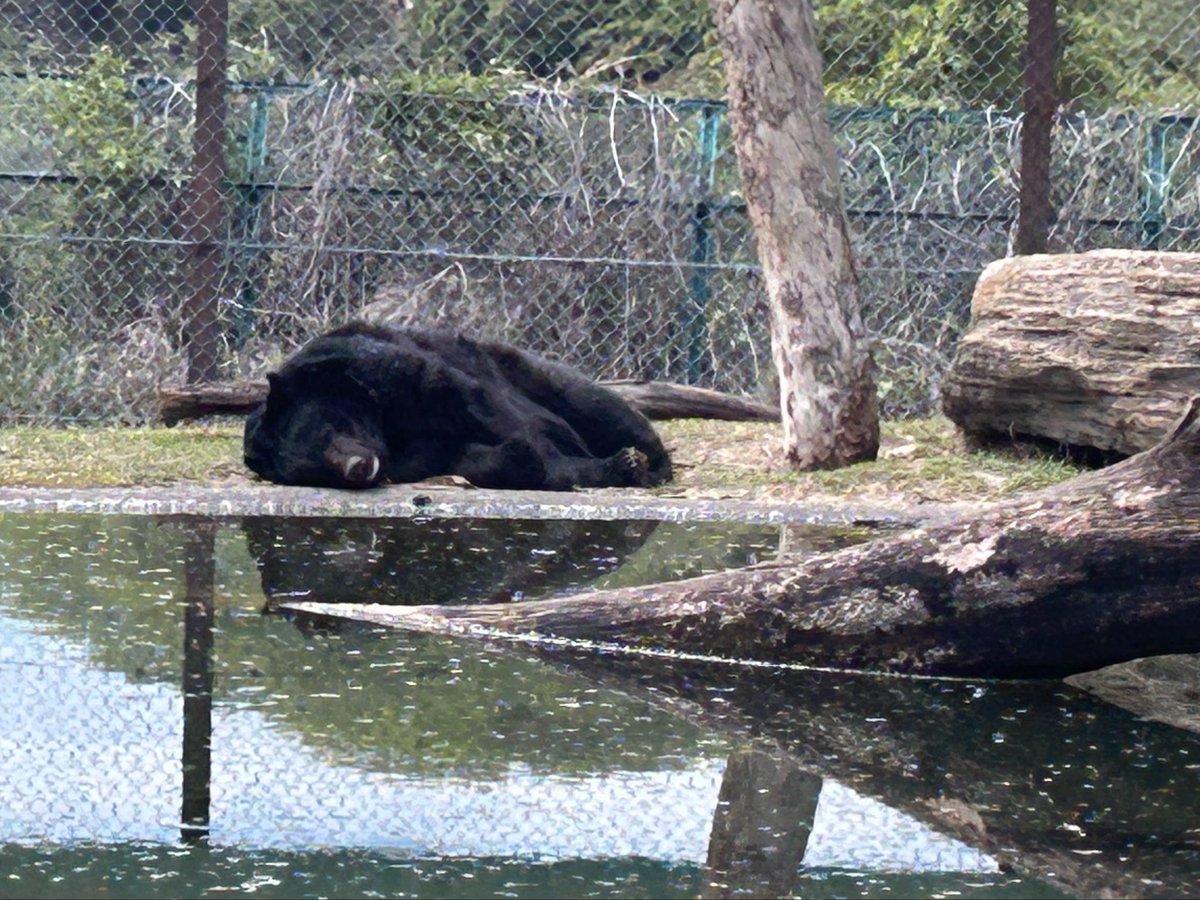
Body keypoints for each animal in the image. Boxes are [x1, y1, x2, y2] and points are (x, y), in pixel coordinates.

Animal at [243, 322, 673, 491]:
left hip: (532, 373)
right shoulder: (414, 458)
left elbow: (494, 414)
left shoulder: (397, 373)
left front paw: (620, 462)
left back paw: (651, 461)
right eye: (313, 472)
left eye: (330, 427)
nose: (357, 467)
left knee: (599, 406)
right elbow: (472, 457)